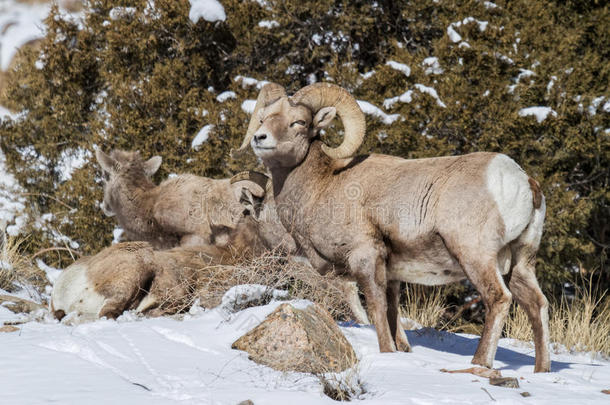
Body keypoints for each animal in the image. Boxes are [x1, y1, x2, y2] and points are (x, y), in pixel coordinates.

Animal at [230, 82, 548, 372]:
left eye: (299, 122)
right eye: (263, 118)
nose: (260, 138)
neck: (322, 185)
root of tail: (523, 181)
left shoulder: (365, 257)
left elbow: (376, 308)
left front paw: (386, 353)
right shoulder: (392, 274)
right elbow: (394, 313)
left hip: (476, 257)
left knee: (499, 299)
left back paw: (480, 363)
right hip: (520, 262)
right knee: (537, 304)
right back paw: (541, 370)